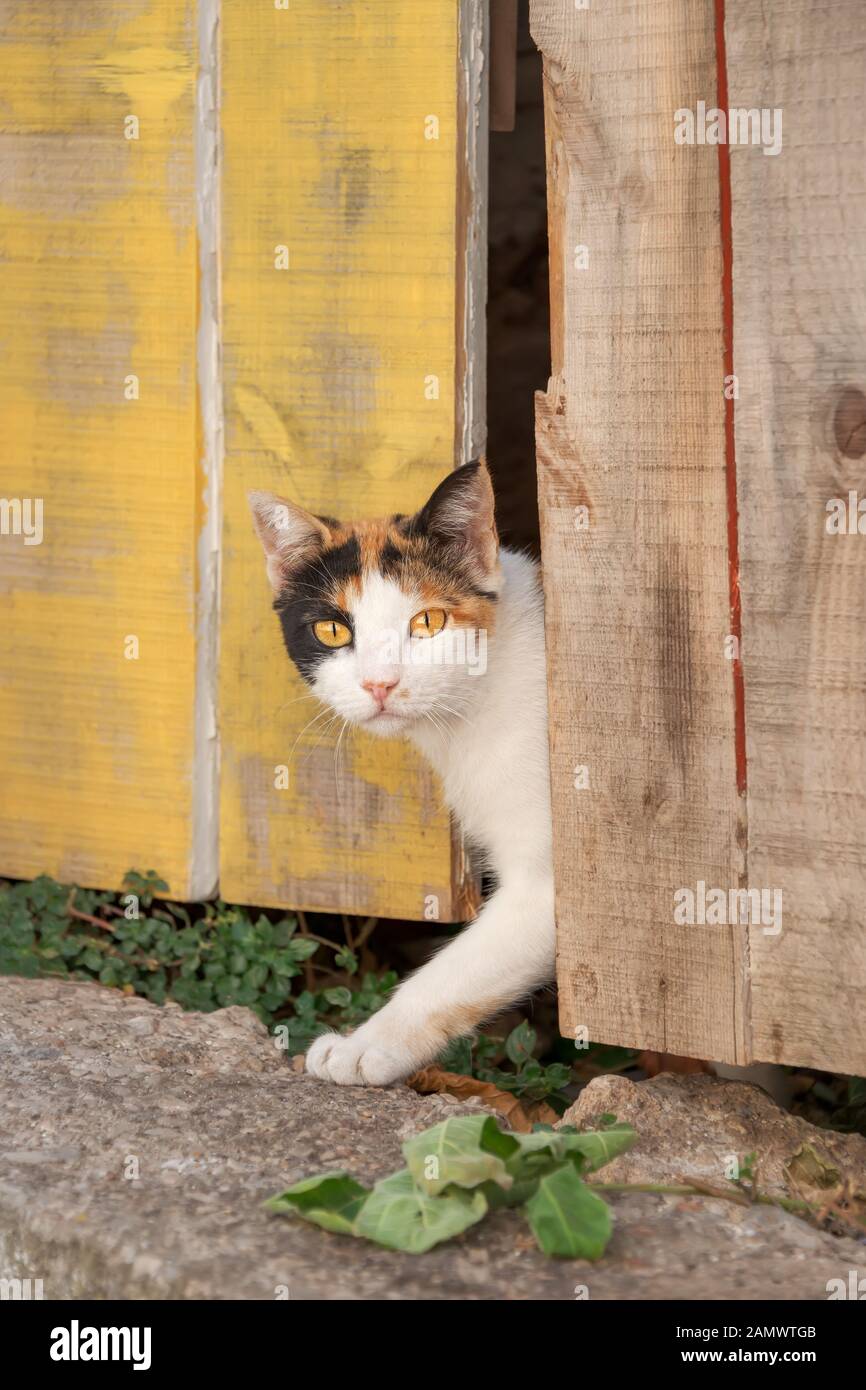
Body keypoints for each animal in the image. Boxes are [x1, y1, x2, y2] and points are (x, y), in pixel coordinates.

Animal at [247, 464, 556, 1084]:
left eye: (429, 622)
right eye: (333, 631)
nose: (379, 684)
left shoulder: (555, 886)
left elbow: (454, 973)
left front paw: (364, 1047)